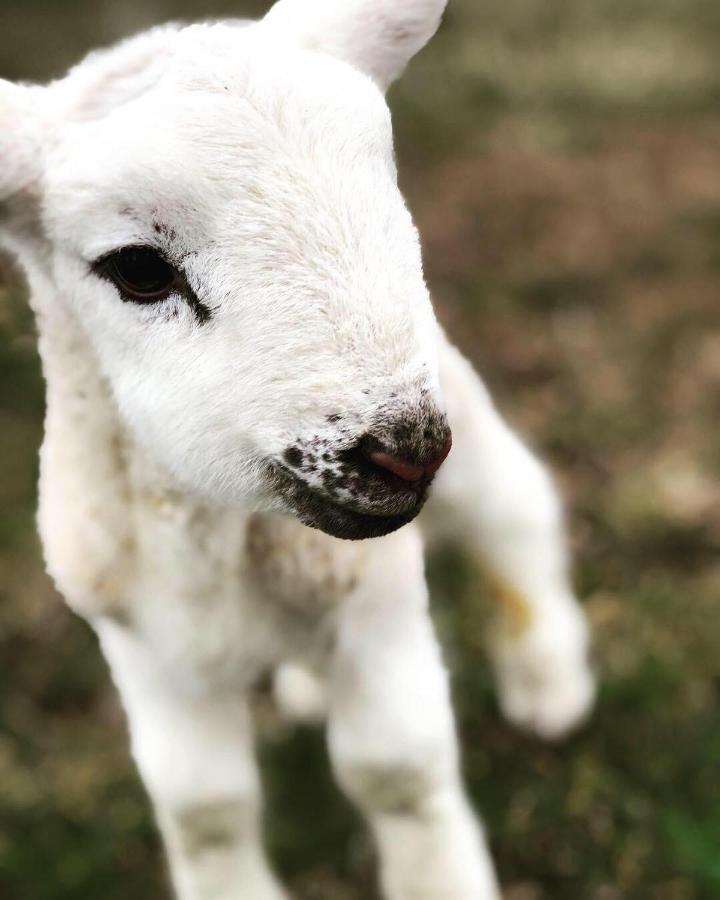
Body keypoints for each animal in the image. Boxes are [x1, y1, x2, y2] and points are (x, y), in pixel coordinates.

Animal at [0, 3, 596, 896]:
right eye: (138, 269)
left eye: (387, 186)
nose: (407, 451)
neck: (224, 542)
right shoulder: (148, 648)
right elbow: (205, 812)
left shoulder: (380, 608)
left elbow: (398, 772)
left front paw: (440, 879)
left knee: (515, 506)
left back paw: (547, 680)